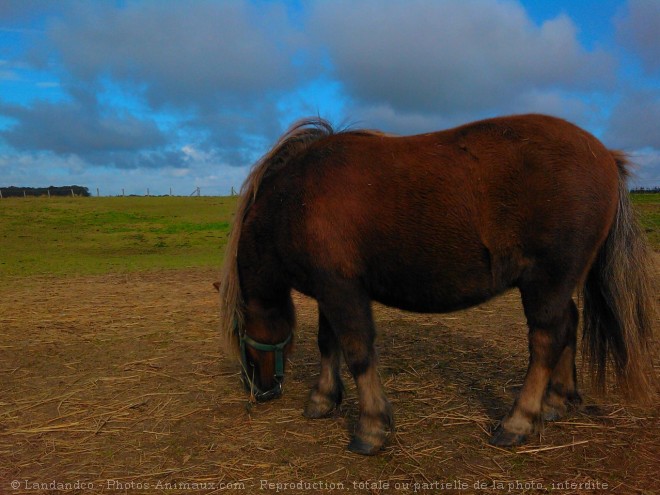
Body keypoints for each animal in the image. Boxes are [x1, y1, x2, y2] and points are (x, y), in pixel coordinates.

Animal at [217, 114, 656, 456]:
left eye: (239, 330)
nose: (257, 390)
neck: (297, 199)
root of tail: (605, 155)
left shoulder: (343, 291)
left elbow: (358, 352)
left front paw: (371, 428)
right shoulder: (330, 291)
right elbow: (329, 343)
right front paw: (323, 399)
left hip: (545, 282)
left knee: (547, 339)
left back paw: (518, 421)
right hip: (558, 283)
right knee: (568, 325)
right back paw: (556, 401)